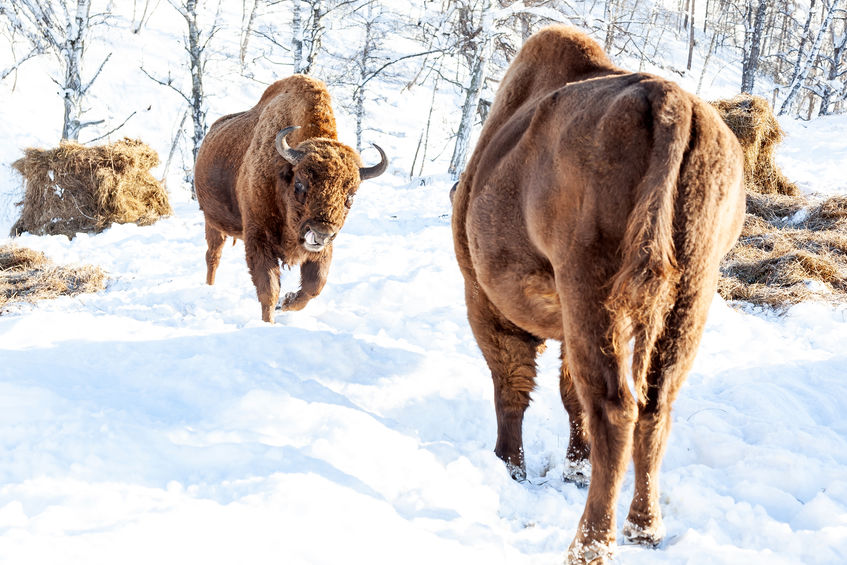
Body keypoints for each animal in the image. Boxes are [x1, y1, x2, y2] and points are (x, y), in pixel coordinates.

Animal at [194, 75, 387, 323]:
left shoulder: (322, 250)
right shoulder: (258, 238)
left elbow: (314, 286)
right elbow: (269, 289)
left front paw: (286, 303)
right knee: (213, 256)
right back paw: (209, 287)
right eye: (300, 184)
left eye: (350, 196)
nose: (321, 233)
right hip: (213, 223)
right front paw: (269, 321)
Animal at [451, 26, 745, 564]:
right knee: (655, 404)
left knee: (615, 407)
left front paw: (509, 465)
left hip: (591, 285)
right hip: (692, 291)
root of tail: (670, 103)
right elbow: (569, 395)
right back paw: (644, 529)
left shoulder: (485, 301)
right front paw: (573, 467)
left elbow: (512, 387)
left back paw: (589, 543)